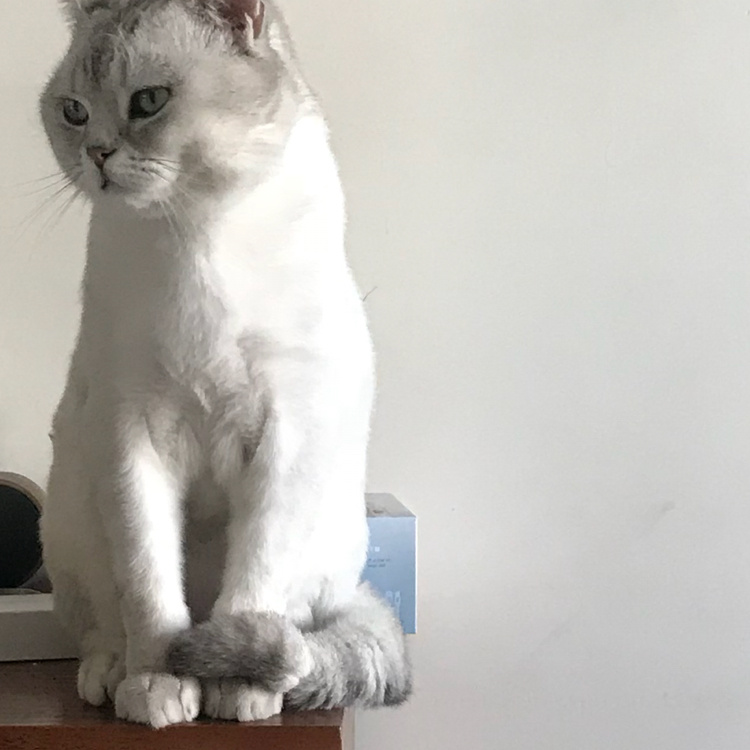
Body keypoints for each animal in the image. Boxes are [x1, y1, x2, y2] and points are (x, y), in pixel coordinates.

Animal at [39, 0, 411, 728]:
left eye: (148, 101)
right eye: (72, 111)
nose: (96, 154)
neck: (195, 232)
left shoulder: (283, 435)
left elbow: (251, 588)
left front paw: (232, 690)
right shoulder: (131, 433)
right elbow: (153, 595)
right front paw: (158, 685)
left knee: (287, 627)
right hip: (72, 509)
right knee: (105, 626)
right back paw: (114, 673)